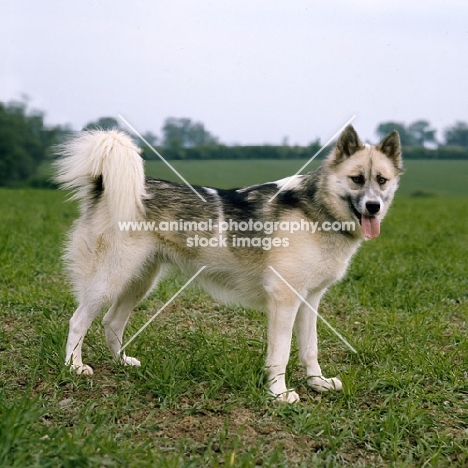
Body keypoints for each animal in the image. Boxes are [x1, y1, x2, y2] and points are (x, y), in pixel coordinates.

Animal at [55, 125, 402, 402]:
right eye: (356, 179)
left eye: (382, 180)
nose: (373, 206)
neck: (317, 211)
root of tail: (102, 186)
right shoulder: (284, 300)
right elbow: (281, 354)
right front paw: (279, 394)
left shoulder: (309, 301)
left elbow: (309, 349)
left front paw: (317, 384)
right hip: (110, 280)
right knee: (78, 321)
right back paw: (73, 367)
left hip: (138, 282)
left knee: (111, 323)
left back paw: (121, 363)